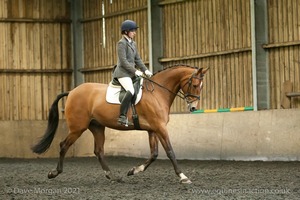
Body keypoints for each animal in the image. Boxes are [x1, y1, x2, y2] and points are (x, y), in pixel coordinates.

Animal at [31, 65, 209, 184]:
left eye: (201, 86)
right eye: (194, 85)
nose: (193, 108)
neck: (157, 93)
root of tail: (72, 91)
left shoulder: (153, 130)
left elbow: (154, 154)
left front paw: (134, 171)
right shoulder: (160, 128)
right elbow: (170, 151)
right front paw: (183, 176)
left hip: (97, 127)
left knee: (98, 151)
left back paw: (112, 176)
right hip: (77, 128)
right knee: (63, 145)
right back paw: (54, 173)